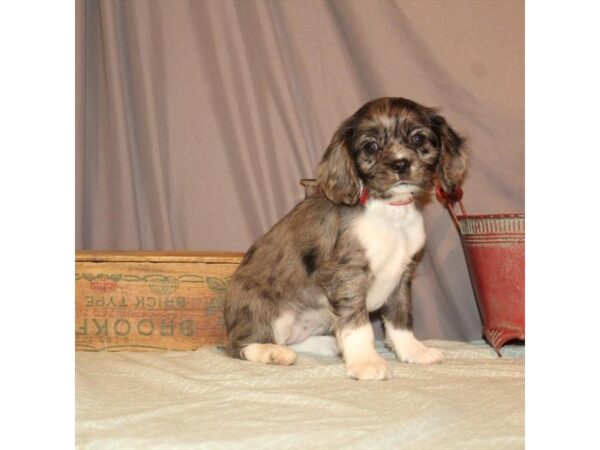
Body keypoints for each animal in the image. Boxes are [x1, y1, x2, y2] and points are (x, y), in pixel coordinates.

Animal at [223, 96, 466, 380]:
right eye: (371, 146)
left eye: (418, 139)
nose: (400, 164)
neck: (389, 212)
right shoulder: (349, 275)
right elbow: (358, 324)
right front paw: (365, 362)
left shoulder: (402, 275)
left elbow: (401, 319)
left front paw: (413, 352)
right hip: (268, 315)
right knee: (241, 345)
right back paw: (274, 353)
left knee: (293, 339)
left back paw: (328, 344)